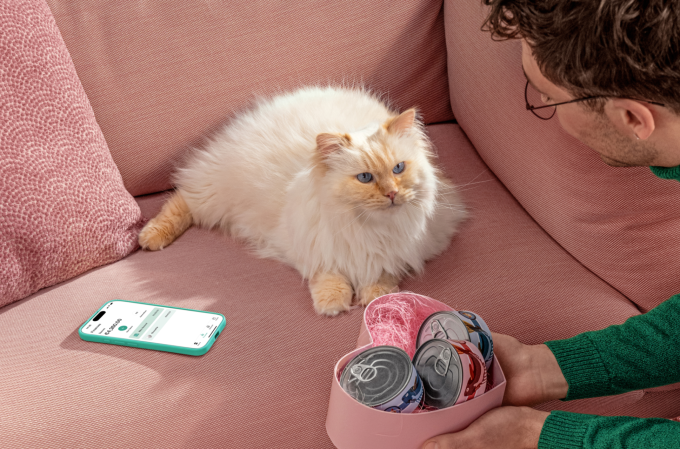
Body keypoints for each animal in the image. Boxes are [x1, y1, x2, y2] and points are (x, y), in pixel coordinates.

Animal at [140, 86, 464, 316]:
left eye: (398, 169)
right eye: (365, 178)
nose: (392, 193)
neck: (369, 228)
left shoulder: (413, 245)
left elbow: (384, 272)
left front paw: (376, 297)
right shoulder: (310, 245)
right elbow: (328, 273)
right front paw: (332, 303)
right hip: (214, 194)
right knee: (181, 199)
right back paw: (150, 238)